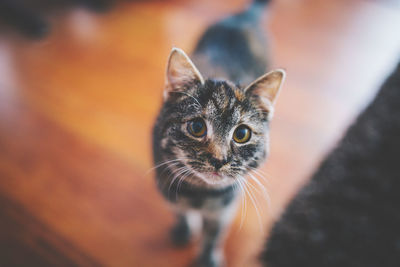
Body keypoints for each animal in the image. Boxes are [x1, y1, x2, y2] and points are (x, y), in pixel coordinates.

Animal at [152, 1, 286, 266]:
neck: (199, 194)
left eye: (242, 133)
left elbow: (213, 234)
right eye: (196, 127)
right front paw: (183, 229)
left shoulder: (224, 208)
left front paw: (206, 258)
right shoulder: (166, 184)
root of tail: (243, 17)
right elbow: (179, 211)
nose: (219, 159)